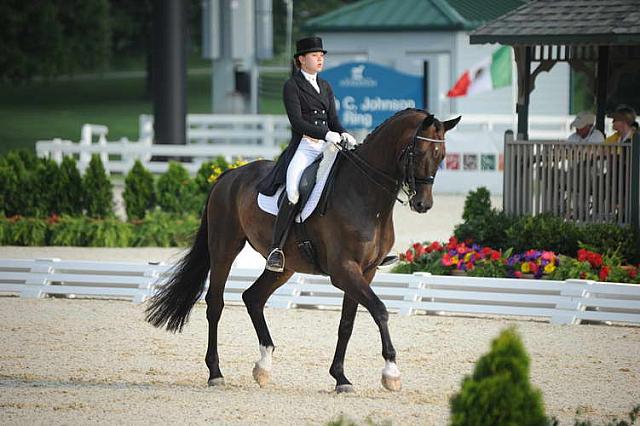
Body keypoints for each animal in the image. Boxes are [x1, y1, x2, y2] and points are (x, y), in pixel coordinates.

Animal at [147, 109, 460, 392]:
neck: (366, 197)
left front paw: (341, 378)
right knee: (215, 304)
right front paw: (391, 373)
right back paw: (215, 372)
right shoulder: (344, 271)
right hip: (224, 248)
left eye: (442, 156)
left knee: (253, 297)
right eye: (419, 152)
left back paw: (263, 367)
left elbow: (347, 323)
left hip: (283, 267)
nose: (423, 204)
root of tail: (230, 175)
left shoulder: (365, 272)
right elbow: (380, 310)